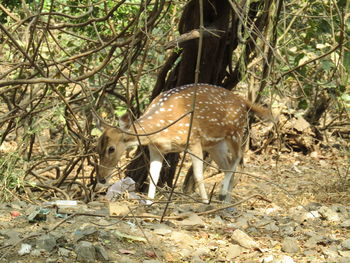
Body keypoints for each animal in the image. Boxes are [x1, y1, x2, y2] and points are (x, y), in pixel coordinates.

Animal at [97, 84, 272, 204]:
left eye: (111, 149)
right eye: (97, 147)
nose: (101, 179)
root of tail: (244, 101)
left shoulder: (193, 139)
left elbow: (198, 174)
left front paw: (205, 202)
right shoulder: (156, 149)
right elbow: (153, 175)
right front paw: (148, 202)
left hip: (235, 131)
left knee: (238, 158)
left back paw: (222, 193)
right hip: (215, 144)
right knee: (227, 163)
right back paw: (226, 200)